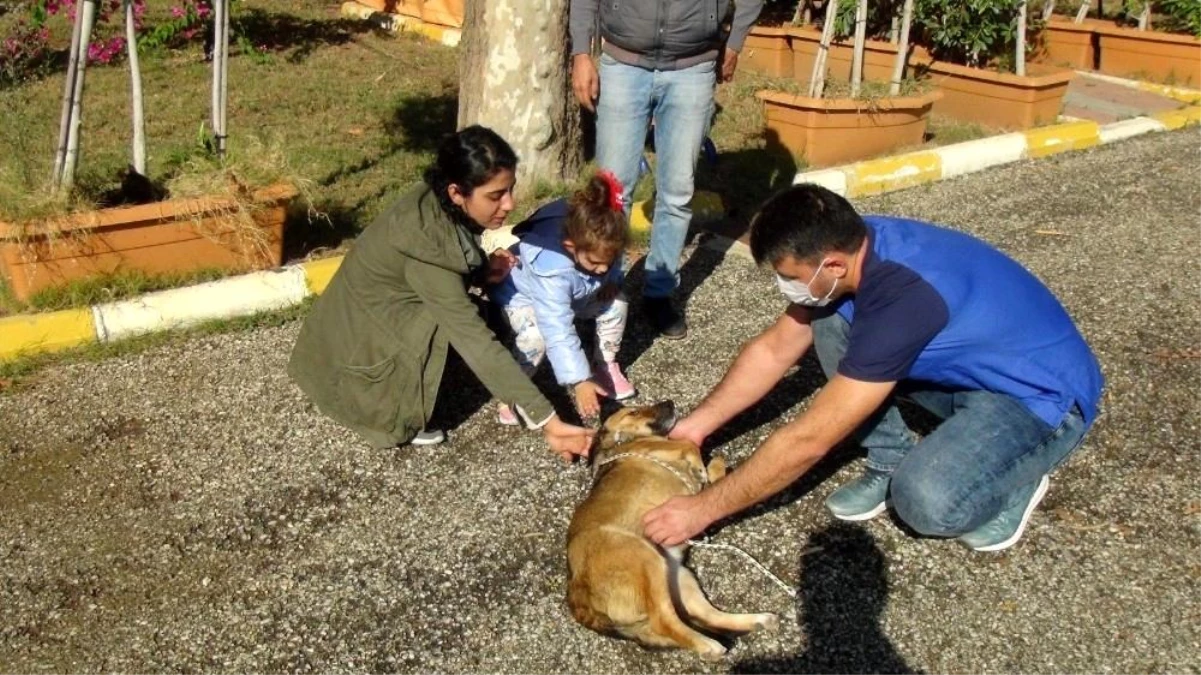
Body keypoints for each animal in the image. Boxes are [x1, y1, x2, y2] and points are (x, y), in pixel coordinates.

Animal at [569, 398, 783, 658]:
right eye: (634, 412)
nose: (670, 402)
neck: (626, 441)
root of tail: (578, 598)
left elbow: (710, 472)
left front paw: (713, 467)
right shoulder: (661, 447)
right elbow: (689, 443)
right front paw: (702, 465)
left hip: (679, 577)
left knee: (707, 615)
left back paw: (758, 621)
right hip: (645, 560)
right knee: (664, 620)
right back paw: (708, 646)